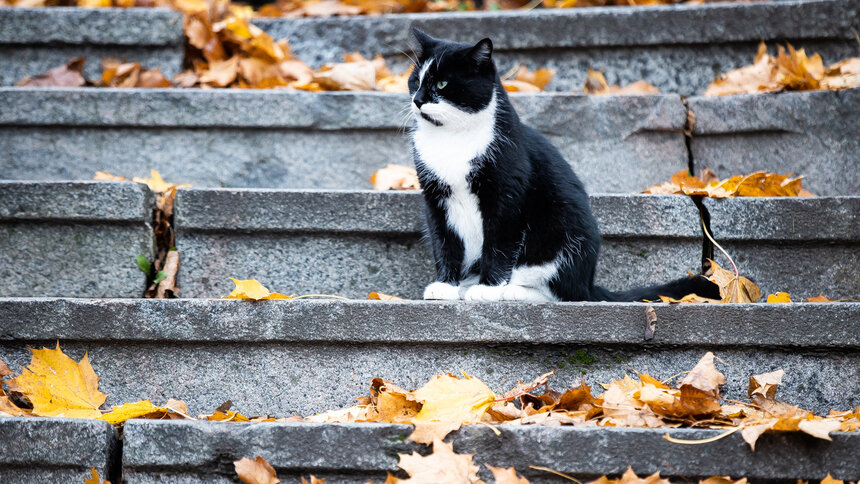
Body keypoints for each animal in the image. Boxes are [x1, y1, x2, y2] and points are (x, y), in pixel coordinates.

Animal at [408, 27, 720, 302]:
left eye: (442, 84)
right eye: (415, 80)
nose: (418, 99)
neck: (452, 139)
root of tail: (590, 284)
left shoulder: (508, 194)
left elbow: (498, 245)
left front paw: (488, 289)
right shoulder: (435, 199)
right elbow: (444, 243)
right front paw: (445, 285)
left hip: (565, 231)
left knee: (562, 292)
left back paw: (509, 291)